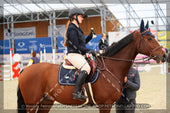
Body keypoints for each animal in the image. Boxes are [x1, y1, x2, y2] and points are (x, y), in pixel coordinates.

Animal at [17, 19, 166, 113]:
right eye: (149, 38)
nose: (164, 55)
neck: (111, 68)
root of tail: (25, 70)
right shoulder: (105, 104)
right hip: (32, 103)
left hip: (46, 102)